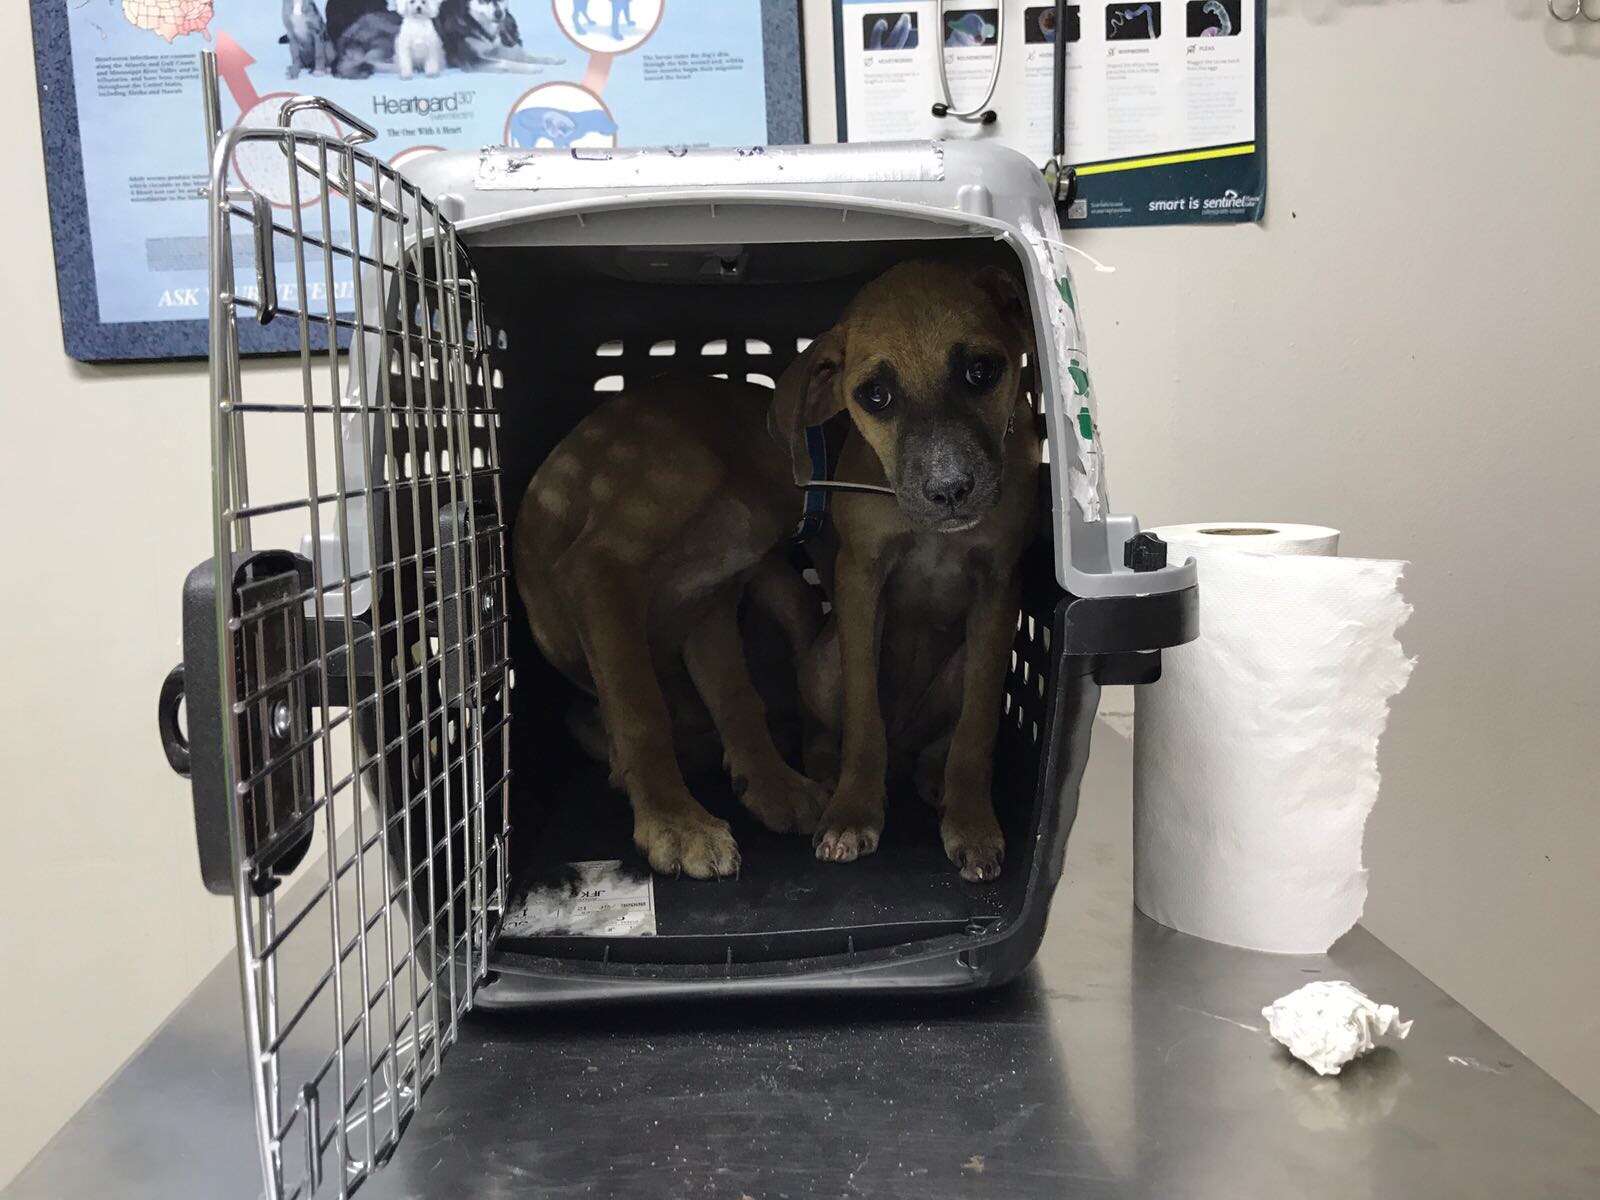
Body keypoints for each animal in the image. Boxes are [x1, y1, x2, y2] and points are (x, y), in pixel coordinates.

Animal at [518, 377, 832, 883]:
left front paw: (773, 785)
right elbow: (642, 713)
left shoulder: (710, 603)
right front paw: (676, 824)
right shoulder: (602, 570)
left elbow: (738, 700)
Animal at [784, 262, 1036, 883]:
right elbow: (862, 719)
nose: (949, 490)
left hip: (962, 663)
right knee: (827, 730)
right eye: (875, 395)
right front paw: (852, 812)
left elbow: (976, 730)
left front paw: (971, 821)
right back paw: (827, 774)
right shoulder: (859, 579)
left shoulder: (998, 590)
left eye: (981, 371)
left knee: (940, 742)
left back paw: (933, 779)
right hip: (823, 663)